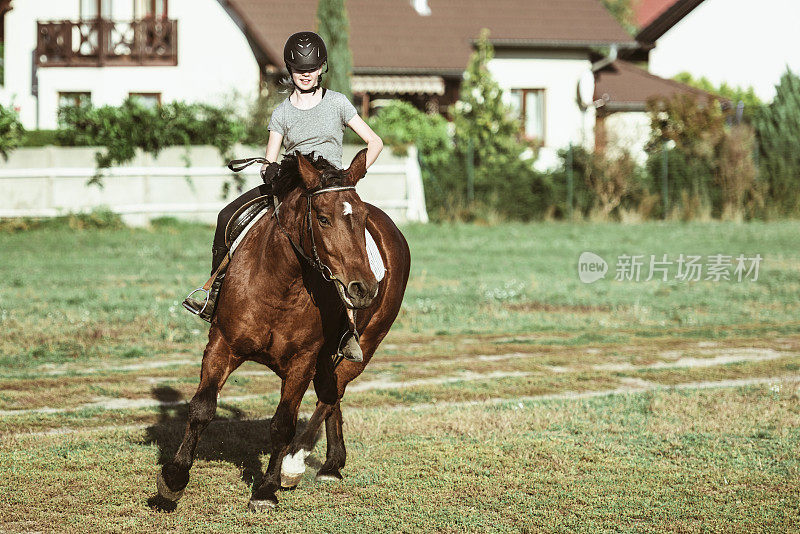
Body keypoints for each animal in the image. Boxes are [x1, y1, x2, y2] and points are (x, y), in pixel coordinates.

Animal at [155, 149, 412, 512]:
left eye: (361, 219)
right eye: (322, 218)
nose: (364, 289)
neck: (280, 284)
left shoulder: (302, 362)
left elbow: (283, 424)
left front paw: (266, 488)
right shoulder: (222, 343)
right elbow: (202, 407)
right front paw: (174, 479)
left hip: (368, 343)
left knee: (333, 394)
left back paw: (296, 463)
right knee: (331, 392)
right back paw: (332, 464)